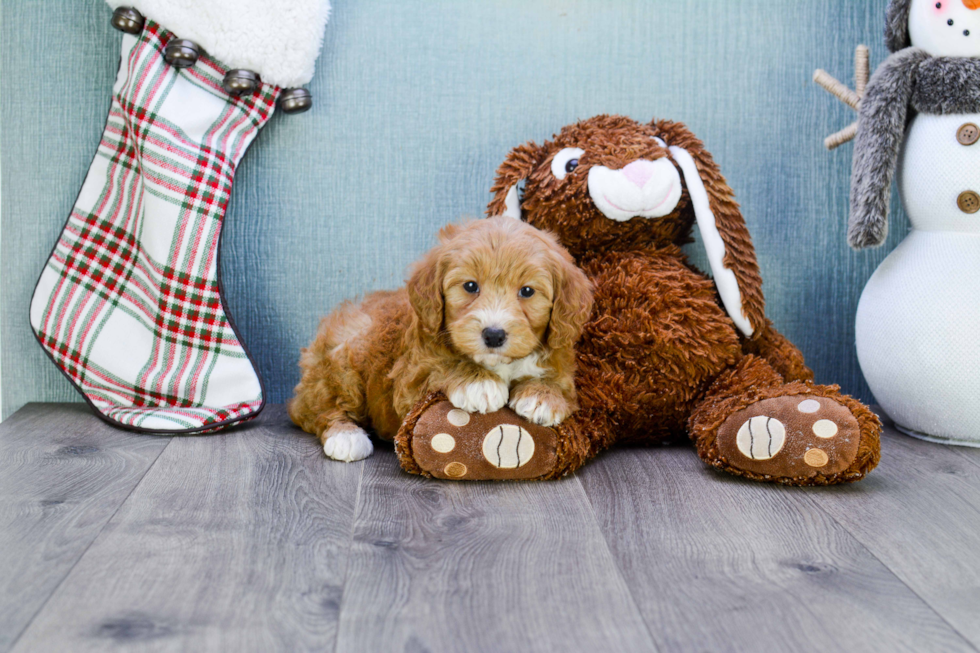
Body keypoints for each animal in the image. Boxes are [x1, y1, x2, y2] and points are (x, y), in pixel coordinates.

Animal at [288, 216, 592, 460]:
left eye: (527, 291)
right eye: (470, 286)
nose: (493, 335)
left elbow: (559, 383)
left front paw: (543, 397)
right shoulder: (411, 380)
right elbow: (443, 365)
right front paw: (478, 383)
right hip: (342, 360)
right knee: (320, 408)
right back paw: (346, 437)